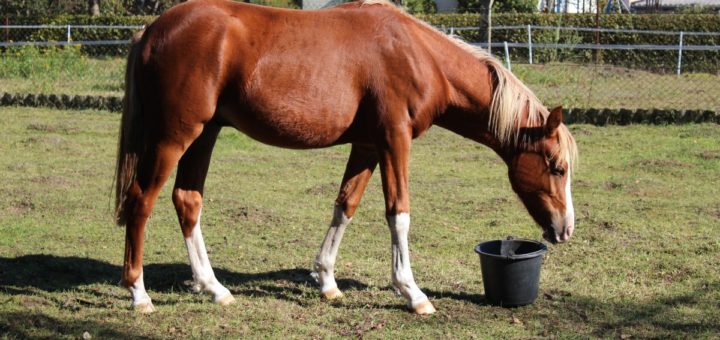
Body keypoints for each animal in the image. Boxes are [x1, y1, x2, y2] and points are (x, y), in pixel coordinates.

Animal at [116, 0, 580, 314]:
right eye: (557, 168)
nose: (565, 230)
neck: (418, 55)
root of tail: (152, 30)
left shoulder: (368, 146)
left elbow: (345, 205)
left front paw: (326, 281)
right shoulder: (395, 140)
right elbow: (399, 213)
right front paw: (412, 293)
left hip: (204, 135)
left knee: (187, 200)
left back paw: (213, 287)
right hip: (175, 136)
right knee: (141, 201)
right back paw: (139, 294)